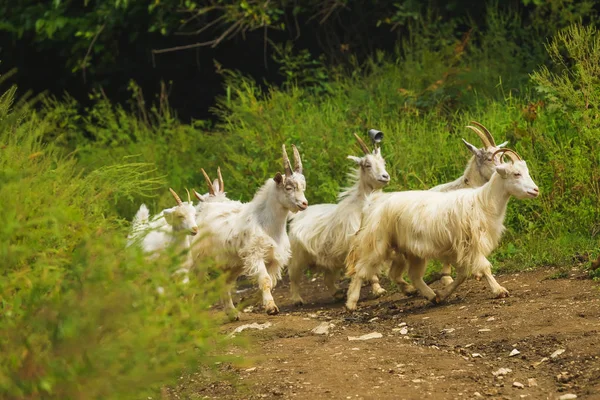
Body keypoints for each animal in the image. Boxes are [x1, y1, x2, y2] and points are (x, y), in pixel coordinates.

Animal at [191, 145, 308, 320]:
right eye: (288, 188)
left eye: (303, 186)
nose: (304, 203)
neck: (268, 225)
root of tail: (206, 207)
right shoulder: (255, 254)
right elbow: (265, 280)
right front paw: (271, 308)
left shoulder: (275, 258)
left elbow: (270, 282)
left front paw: (262, 303)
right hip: (200, 260)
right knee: (194, 285)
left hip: (233, 264)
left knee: (224, 284)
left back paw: (232, 313)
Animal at [288, 133, 392, 304]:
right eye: (367, 165)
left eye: (383, 162)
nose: (385, 176)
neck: (362, 206)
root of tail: (298, 214)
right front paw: (378, 291)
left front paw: (379, 289)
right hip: (297, 256)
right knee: (294, 277)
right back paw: (297, 300)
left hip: (329, 258)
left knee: (327, 278)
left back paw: (337, 294)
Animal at [344, 148, 540, 310]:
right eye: (516, 174)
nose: (536, 190)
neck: (483, 202)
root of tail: (372, 204)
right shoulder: (471, 244)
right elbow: (484, 268)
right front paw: (499, 290)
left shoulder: (460, 249)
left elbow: (462, 275)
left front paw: (443, 294)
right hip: (377, 243)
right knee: (360, 270)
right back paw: (351, 303)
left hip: (412, 251)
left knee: (412, 275)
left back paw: (431, 296)